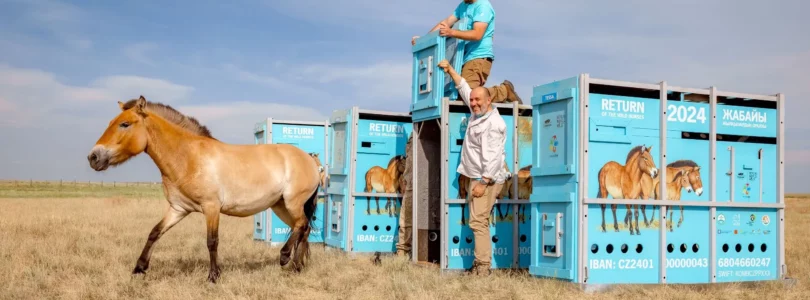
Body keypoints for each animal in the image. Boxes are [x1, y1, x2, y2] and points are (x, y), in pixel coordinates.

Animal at [84, 96, 318, 284]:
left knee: (301, 225)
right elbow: (154, 233)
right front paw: (139, 269)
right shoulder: (178, 209)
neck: (189, 157)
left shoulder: (211, 208)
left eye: (124, 124)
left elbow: (212, 241)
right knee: (302, 229)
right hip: (280, 205)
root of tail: (311, 160)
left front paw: (213, 276)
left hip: (292, 202)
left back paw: (285, 257)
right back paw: (297, 266)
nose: (93, 157)